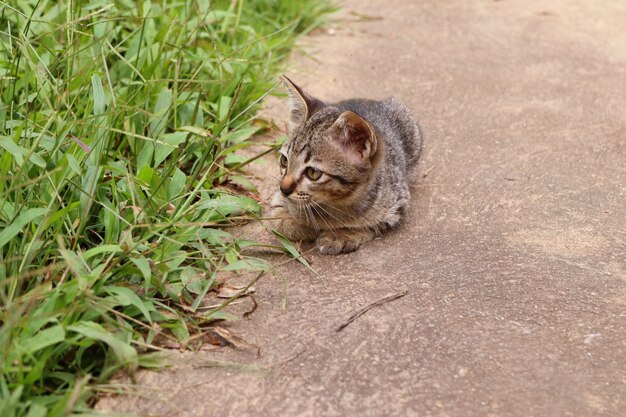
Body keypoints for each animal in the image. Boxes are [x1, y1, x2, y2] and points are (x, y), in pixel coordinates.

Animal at [268, 76, 420, 255]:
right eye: (284, 161)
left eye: (313, 173)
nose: (284, 189)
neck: (333, 204)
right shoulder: (277, 201)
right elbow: (280, 220)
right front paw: (304, 224)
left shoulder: (397, 204)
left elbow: (369, 224)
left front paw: (340, 235)